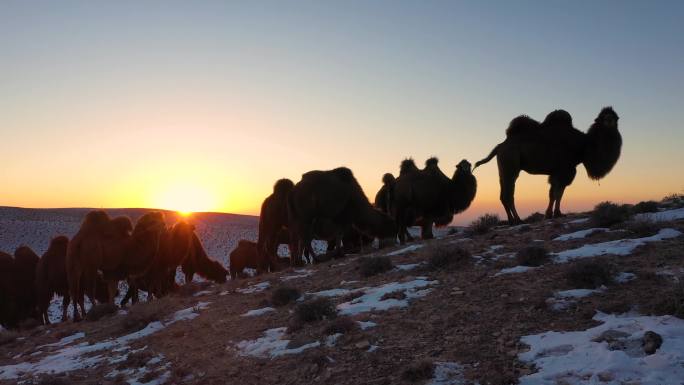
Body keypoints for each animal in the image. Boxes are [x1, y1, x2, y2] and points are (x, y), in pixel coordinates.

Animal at [472, 106, 624, 224]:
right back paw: (517, 220)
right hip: (510, 165)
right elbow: (557, 192)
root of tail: (499, 146)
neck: (583, 145)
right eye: (602, 118)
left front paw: (553, 214)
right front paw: (554, 214)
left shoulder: (558, 171)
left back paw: (512, 220)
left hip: (503, 169)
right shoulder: (565, 169)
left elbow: (555, 193)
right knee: (509, 194)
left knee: (504, 194)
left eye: (615, 117)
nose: (609, 120)